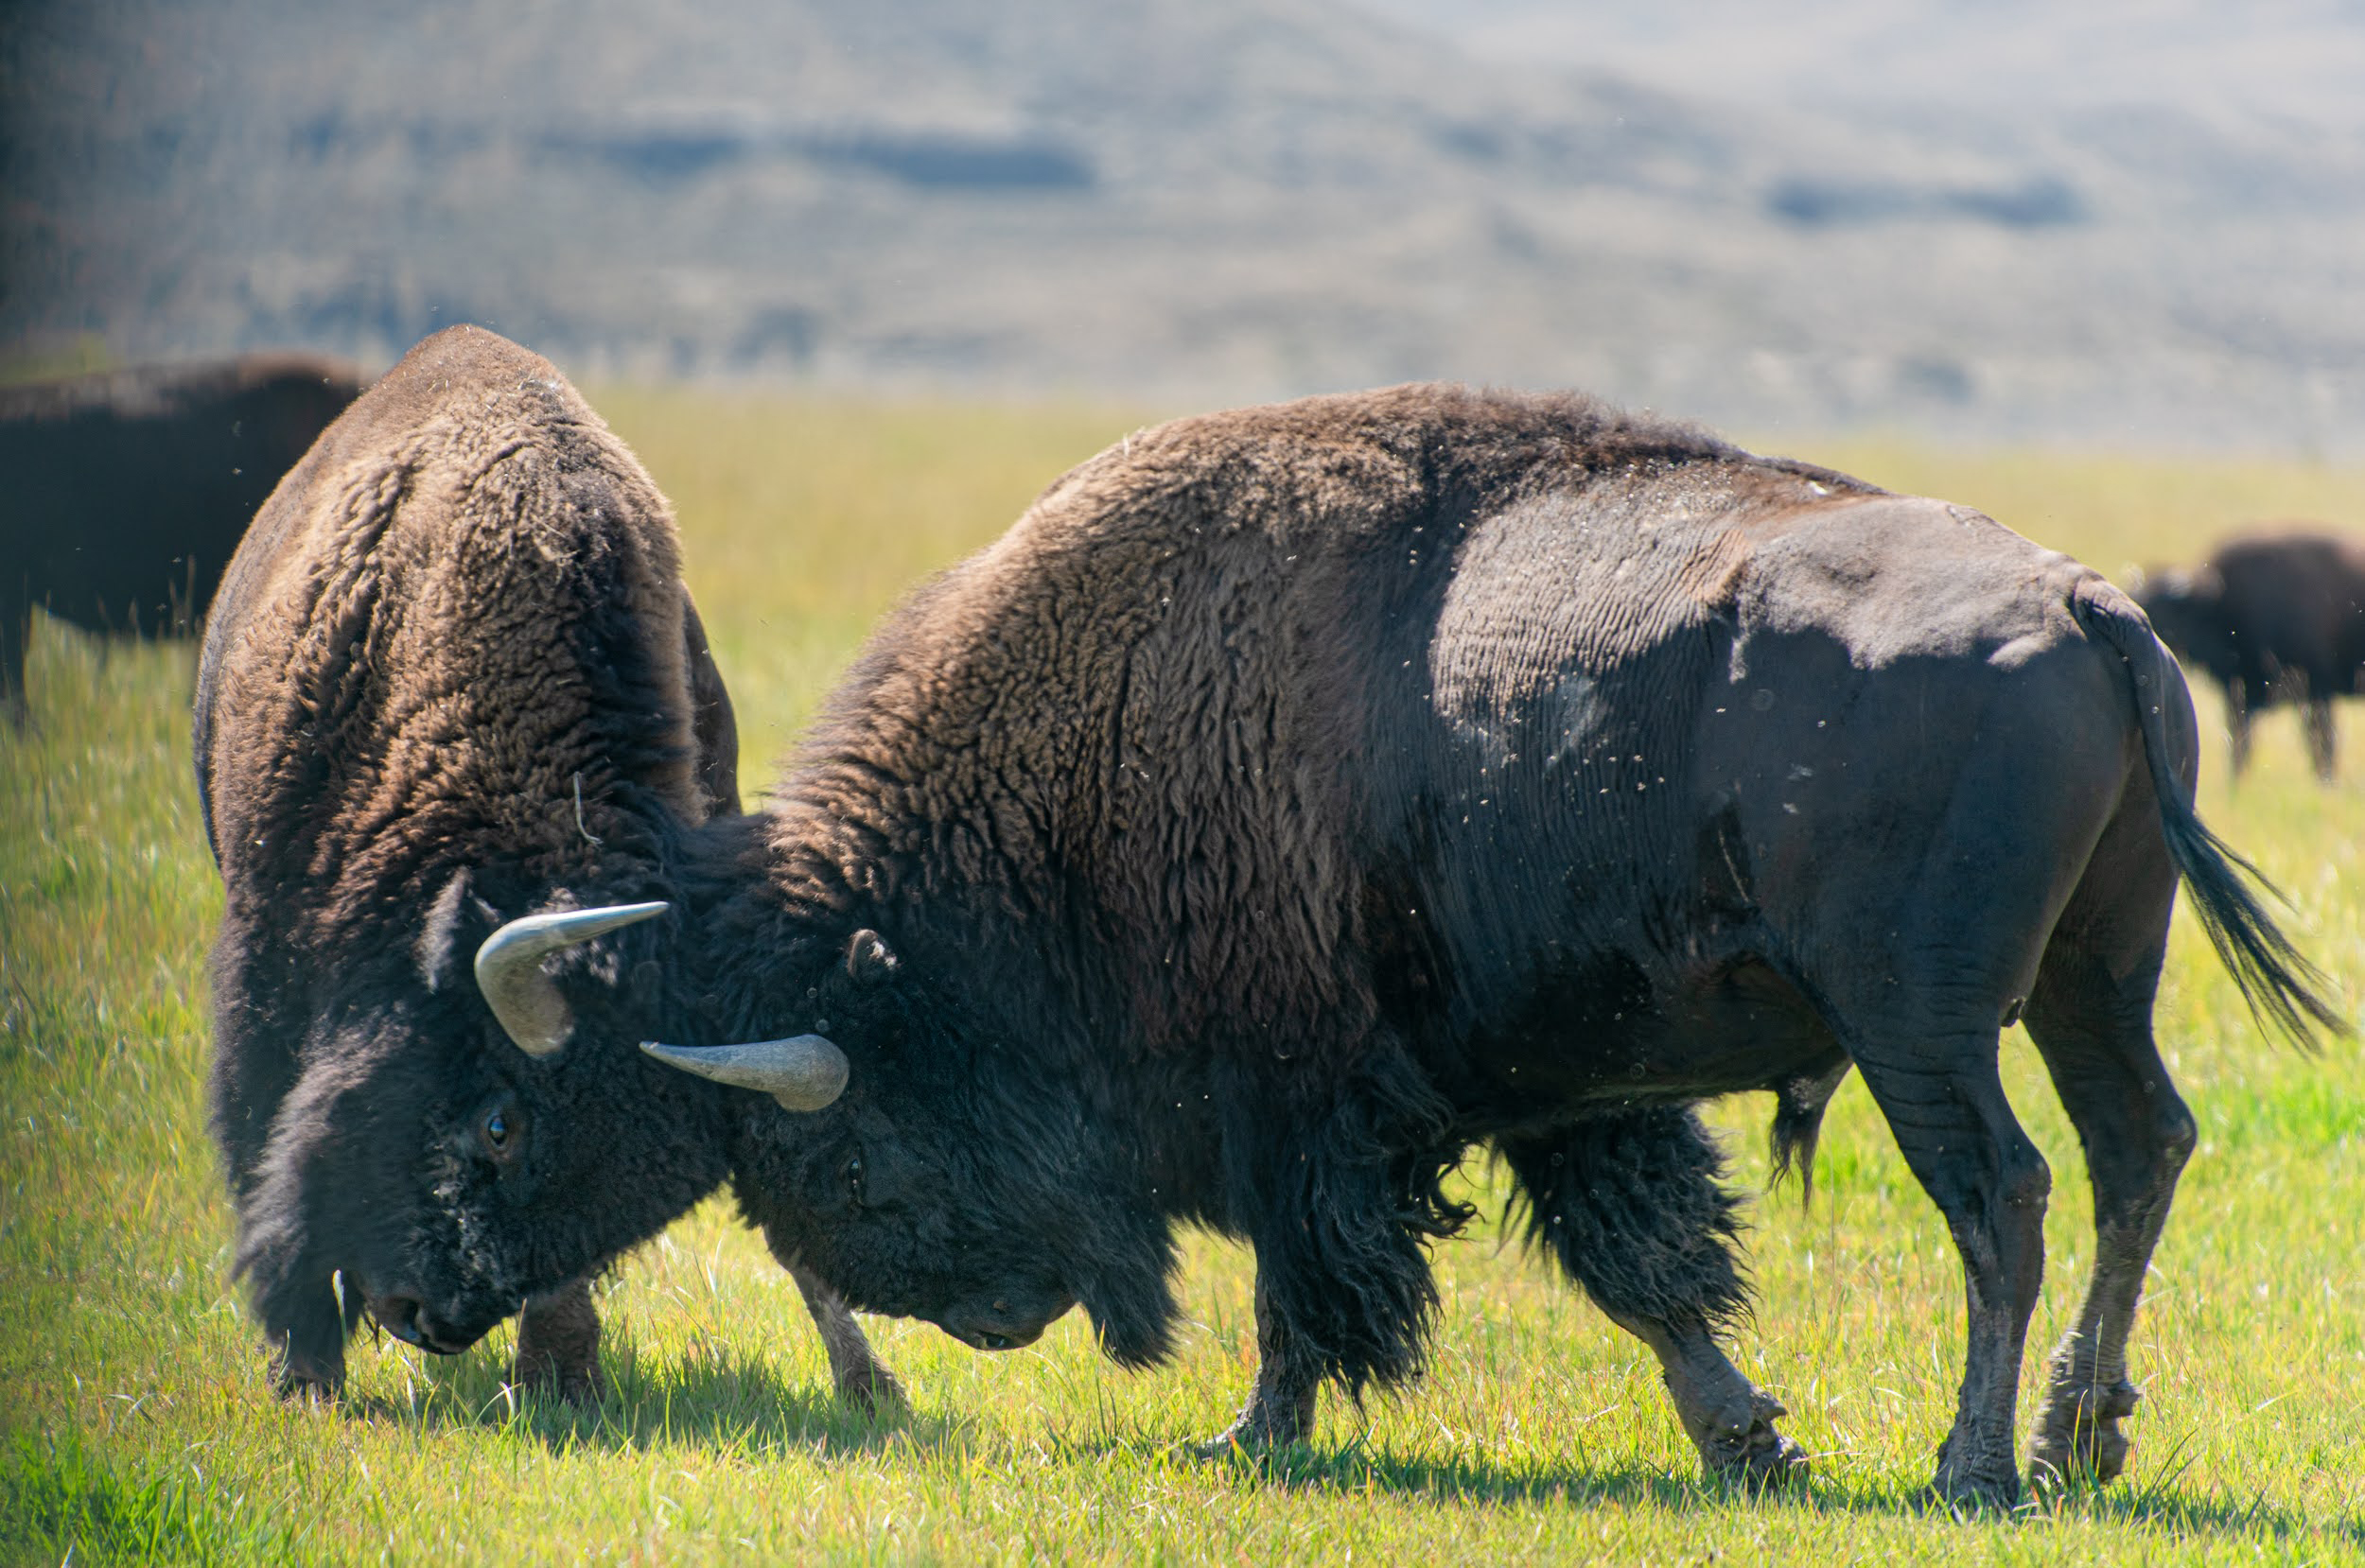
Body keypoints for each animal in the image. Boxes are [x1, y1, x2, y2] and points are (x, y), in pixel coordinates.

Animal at [195, 326, 894, 1405]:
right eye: (498, 1124)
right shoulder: (265, 947)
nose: (431, 1319)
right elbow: (261, 1123)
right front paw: (306, 1372)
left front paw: (562, 1370)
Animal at [2134, 529, 2365, 780]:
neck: (2219, 604)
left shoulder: (2316, 692)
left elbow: (2322, 746)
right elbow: (2240, 747)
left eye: (2158, 608)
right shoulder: (2241, 698)